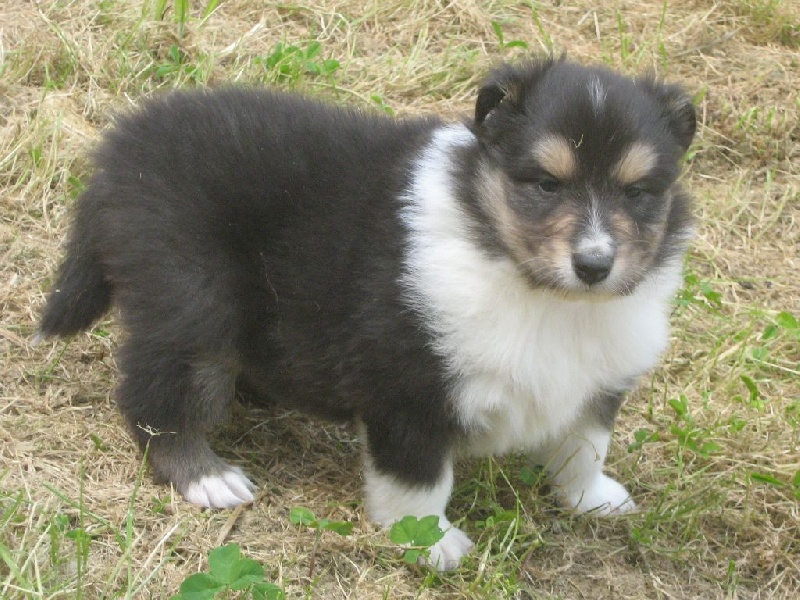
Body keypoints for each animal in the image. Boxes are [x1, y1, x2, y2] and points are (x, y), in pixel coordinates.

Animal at [38, 57, 695, 570]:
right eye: (545, 184)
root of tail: (121, 151)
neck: (538, 291)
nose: (595, 264)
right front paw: (430, 544)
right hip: (191, 302)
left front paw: (593, 499)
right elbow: (419, 478)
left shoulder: (597, 380)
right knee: (157, 396)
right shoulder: (408, 382)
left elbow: (585, 446)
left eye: (639, 192)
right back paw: (207, 477)